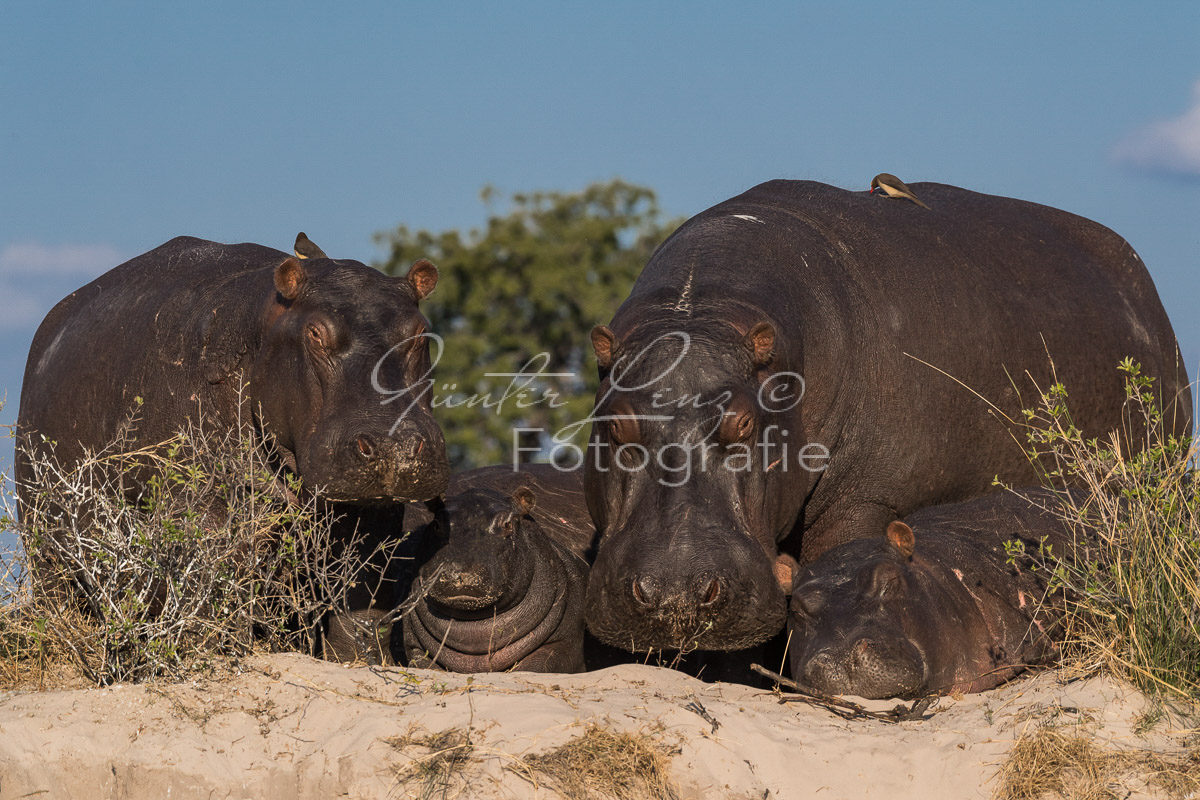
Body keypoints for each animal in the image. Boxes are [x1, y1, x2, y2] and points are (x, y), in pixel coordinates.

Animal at [403, 465, 590, 671]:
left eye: (508, 523)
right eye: (436, 523)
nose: (458, 573)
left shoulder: (563, 644)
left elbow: (538, 666)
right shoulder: (414, 647)